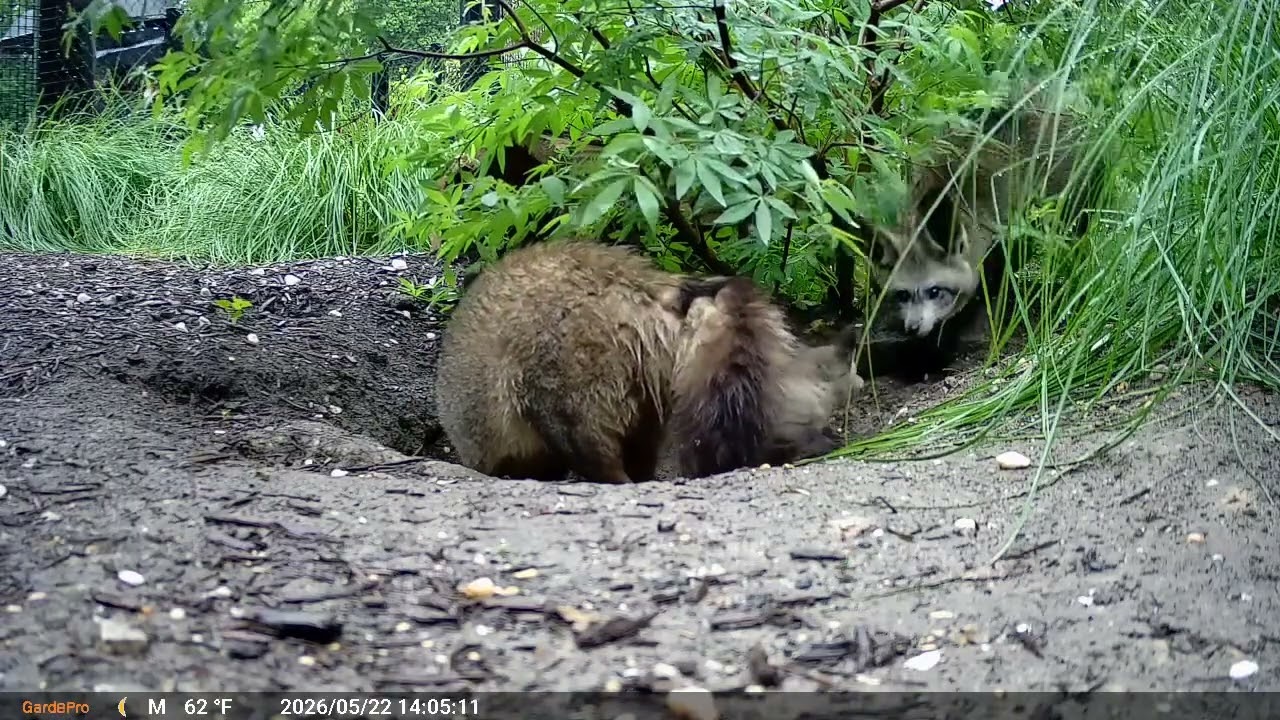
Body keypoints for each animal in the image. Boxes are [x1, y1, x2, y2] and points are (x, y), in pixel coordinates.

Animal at [434, 240, 863, 484]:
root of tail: (632, 285)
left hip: (568, 365)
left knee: (583, 433)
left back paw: (612, 476)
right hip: (642, 381)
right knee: (643, 435)